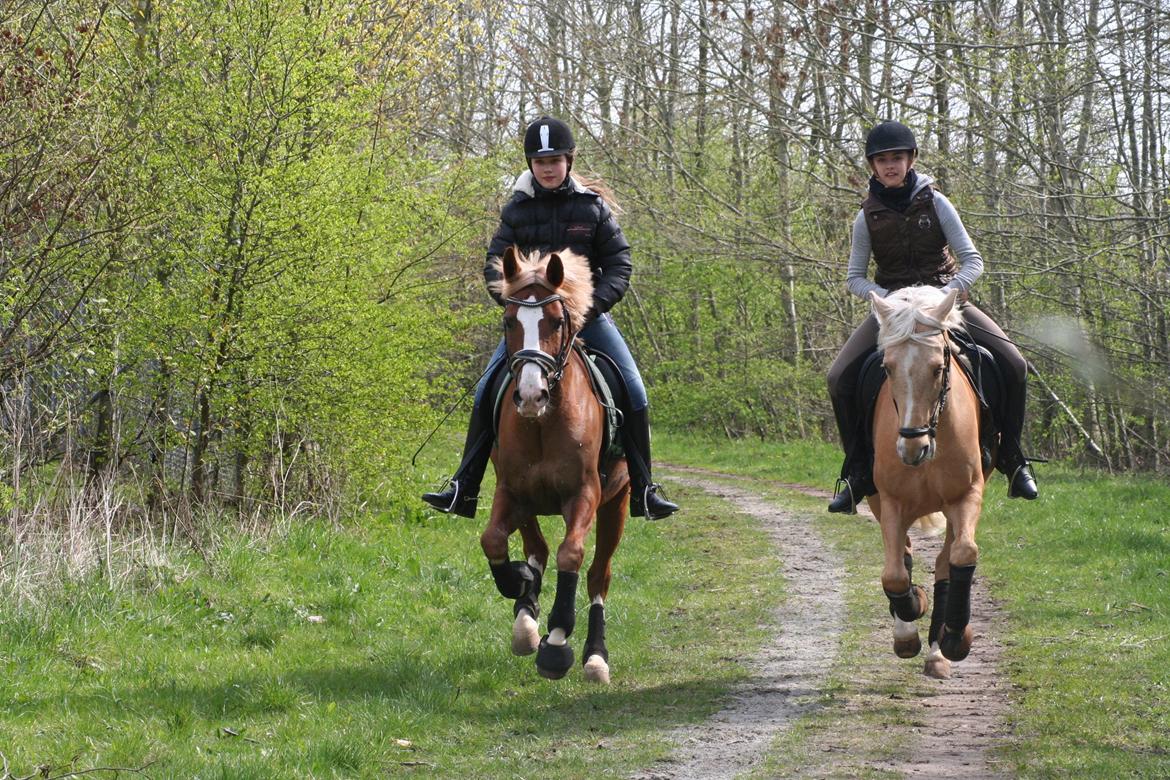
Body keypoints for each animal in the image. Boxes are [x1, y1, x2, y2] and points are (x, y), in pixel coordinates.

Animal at [477, 245, 631, 682]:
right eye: (509, 320)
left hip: (618, 503)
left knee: (598, 575)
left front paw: (558, 642)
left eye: (558, 321)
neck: (543, 423)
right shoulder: (512, 492)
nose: (531, 395)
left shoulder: (584, 495)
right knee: (538, 550)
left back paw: (595, 657)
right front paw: (521, 588)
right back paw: (526, 619)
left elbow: (571, 555)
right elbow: (494, 541)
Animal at [865, 285, 992, 678]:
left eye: (938, 368)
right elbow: (894, 573)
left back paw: (939, 650)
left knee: (946, 558)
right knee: (903, 556)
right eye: (887, 368)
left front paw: (954, 638)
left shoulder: (967, 494)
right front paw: (910, 619)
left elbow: (962, 555)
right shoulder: (889, 500)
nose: (912, 447)